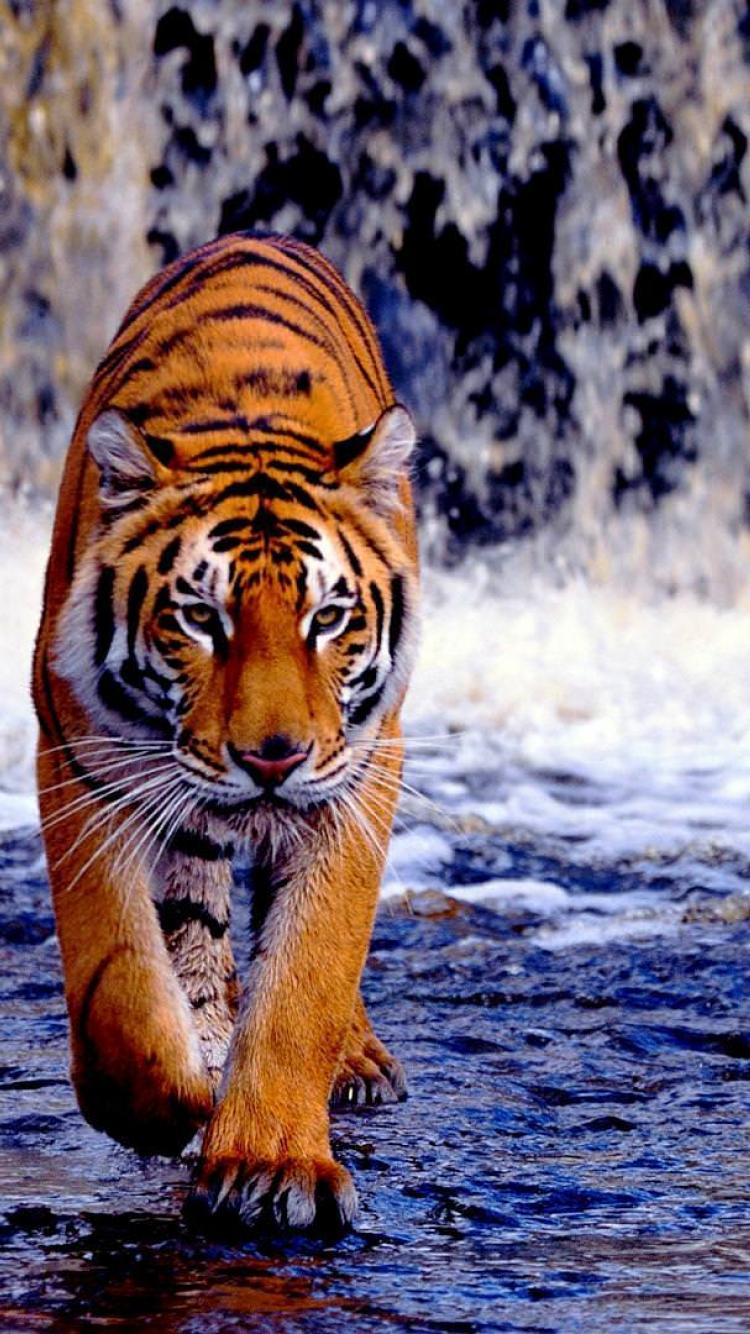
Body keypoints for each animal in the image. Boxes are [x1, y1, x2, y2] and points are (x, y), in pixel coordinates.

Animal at [32, 231, 419, 1233]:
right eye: (200, 618)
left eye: (329, 618)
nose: (271, 758)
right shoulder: (81, 758)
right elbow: (119, 977)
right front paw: (164, 1104)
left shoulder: (358, 776)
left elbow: (308, 974)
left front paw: (271, 1163)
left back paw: (354, 1060)